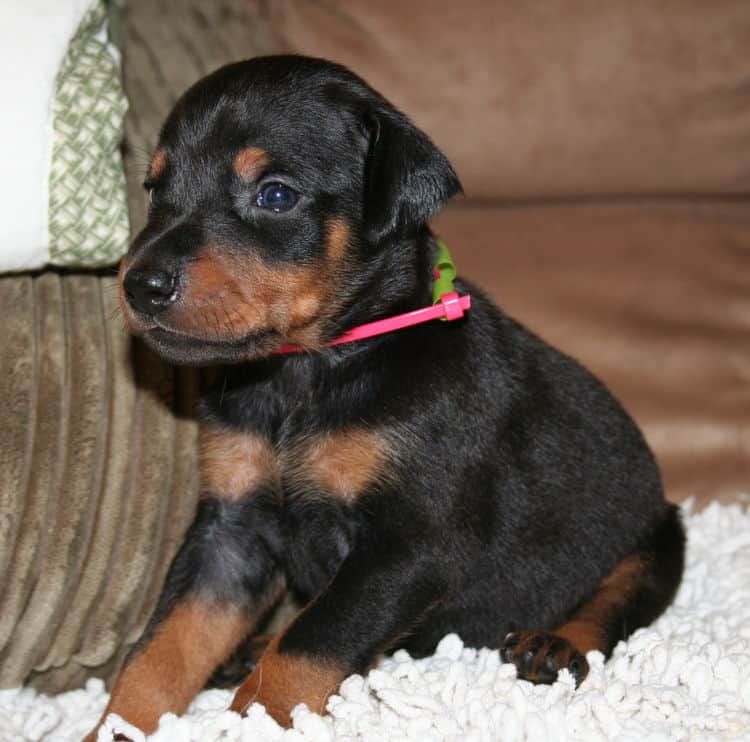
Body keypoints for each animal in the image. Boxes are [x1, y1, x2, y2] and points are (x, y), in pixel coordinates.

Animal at [85, 56, 684, 740]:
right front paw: (113, 727)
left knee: (614, 603)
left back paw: (554, 643)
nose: (140, 285)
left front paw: (256, 719)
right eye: (153, 188)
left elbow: (308, 644)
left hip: (657, 537)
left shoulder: (408, 545)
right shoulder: (230, 531)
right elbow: (160, 649)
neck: (303, 374)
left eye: (275, 194)